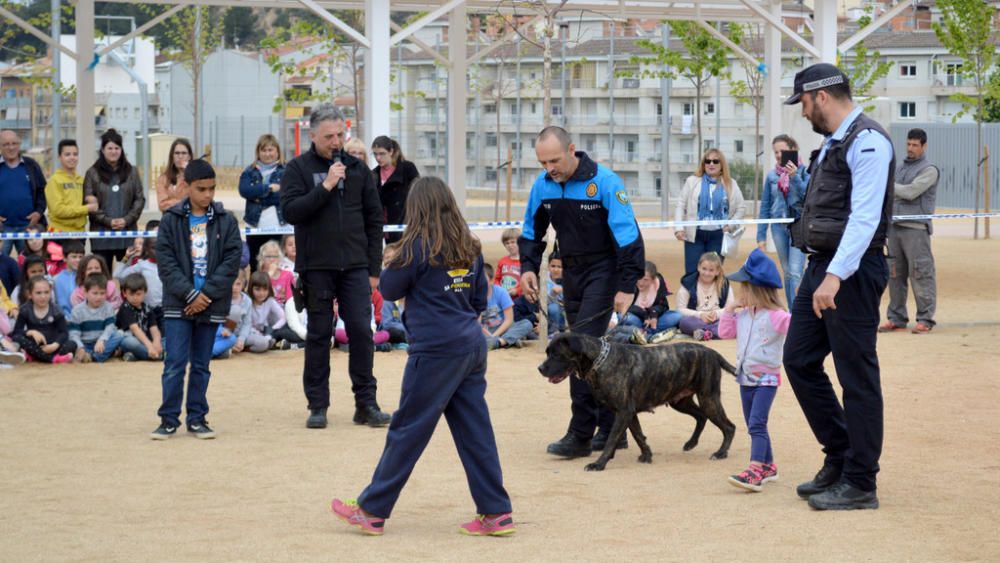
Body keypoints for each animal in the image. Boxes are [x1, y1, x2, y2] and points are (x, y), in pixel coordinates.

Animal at [536, 334, 740, 472]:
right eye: (547, 353)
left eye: (557, 355)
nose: (540, 368)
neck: (600, 360)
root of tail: (713, 353)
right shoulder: (629, 413)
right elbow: (638, 435)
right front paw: (647, 455)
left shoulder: (624, 412)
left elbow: (612, 439)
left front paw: (599, 463)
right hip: (681, 401)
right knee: (701, 417)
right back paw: (691, 443)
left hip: (708, 398)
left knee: (729, 427)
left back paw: (721, 453)